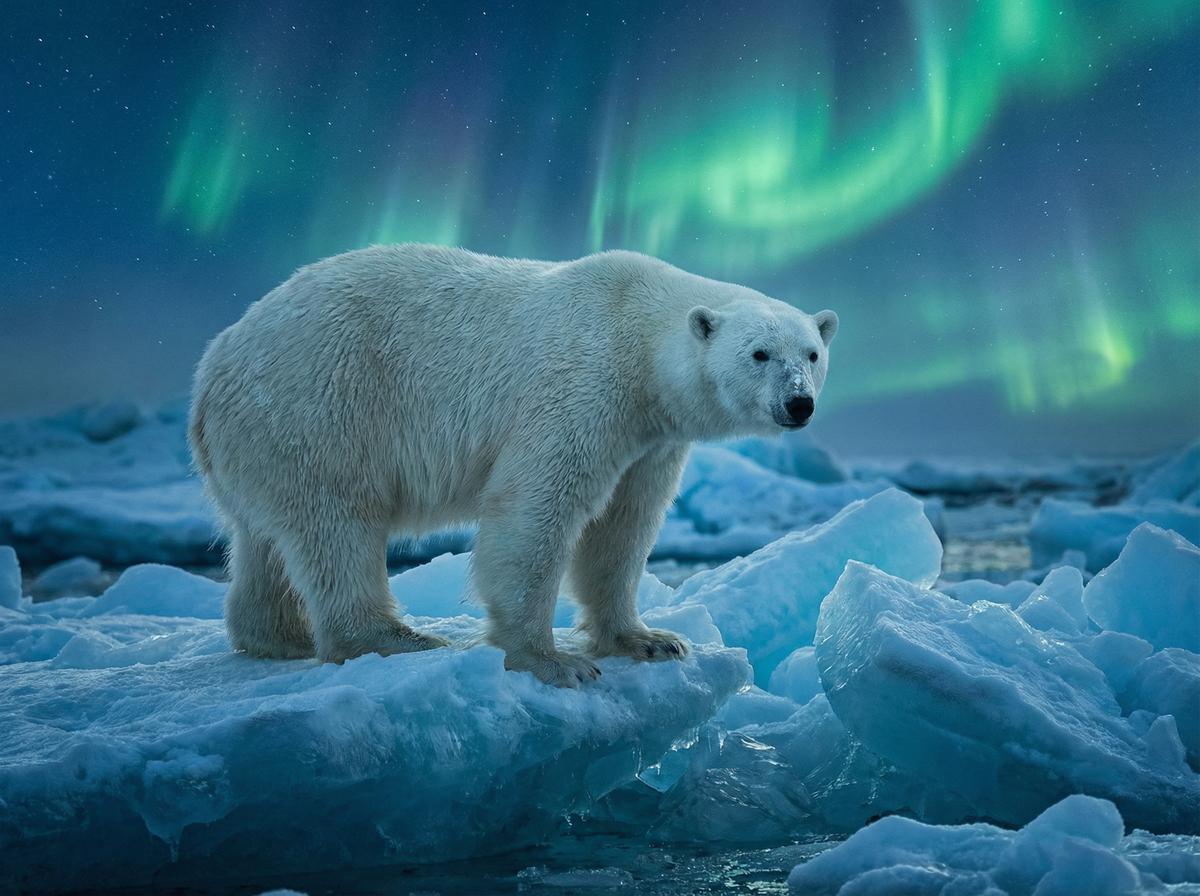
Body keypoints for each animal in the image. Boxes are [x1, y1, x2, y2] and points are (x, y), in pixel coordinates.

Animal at [189, 245, 838, 686]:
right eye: (759, 354)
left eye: (811, 352)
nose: (799, 403)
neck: (638, 333)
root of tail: (214, 365)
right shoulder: (582, 385)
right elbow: (536, 508)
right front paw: (553, 661)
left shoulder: (650, 438)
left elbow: (624, 525)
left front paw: (650, 640)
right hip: (322, 402)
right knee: (337, 525)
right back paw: (395, 638)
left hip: (266, 441)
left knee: (266, 541)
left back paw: (276, 636)